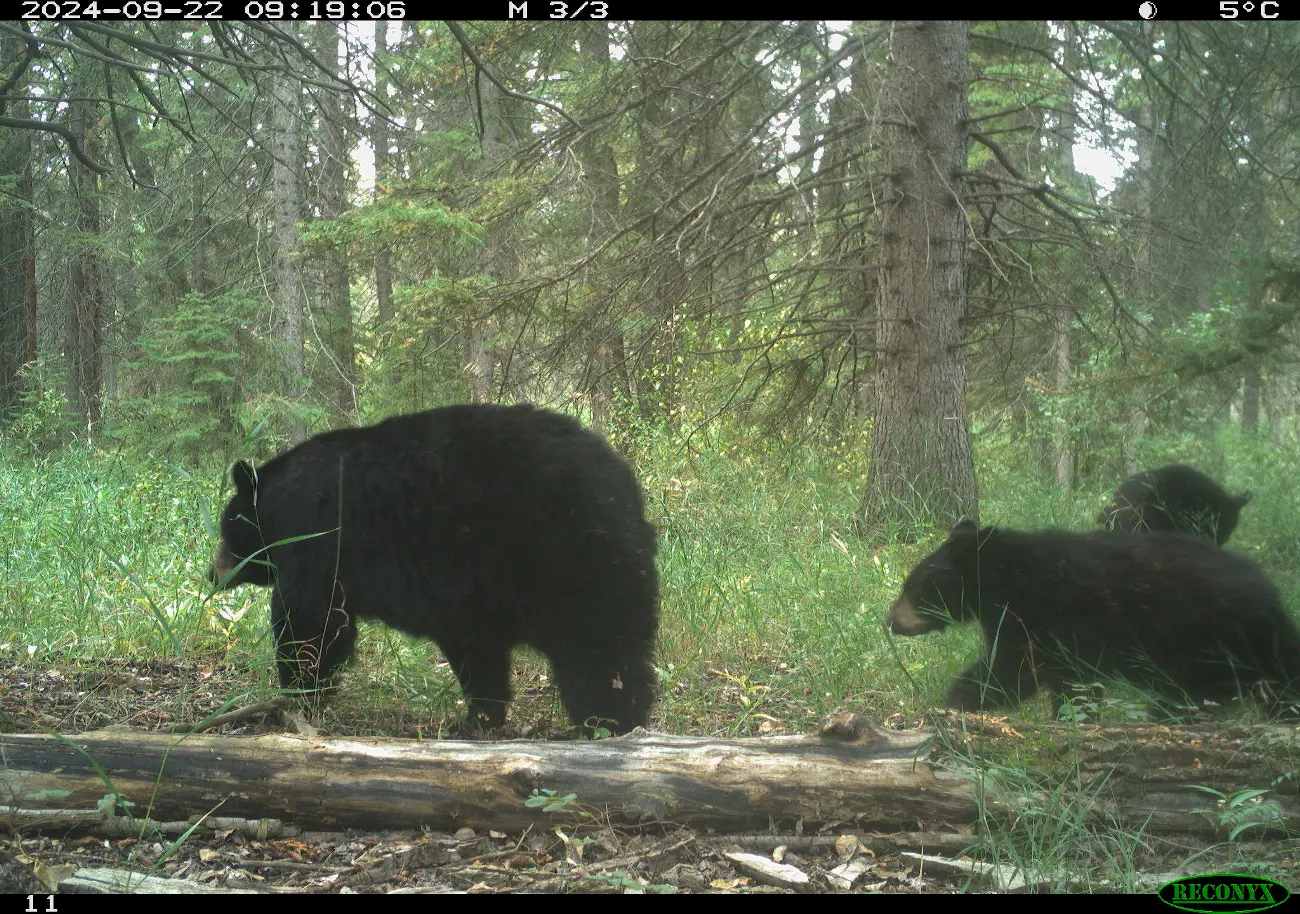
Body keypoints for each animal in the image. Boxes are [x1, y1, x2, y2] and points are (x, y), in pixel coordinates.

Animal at [209, 404, 660, 737]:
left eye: (226, 529)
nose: (213, 575)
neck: (279, 504)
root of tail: (625, 484)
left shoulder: (318, 541)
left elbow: (310, 619)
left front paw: (300, 689)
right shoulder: (464, 601)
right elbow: (479, 654)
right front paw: (483, 717)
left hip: (567, 560)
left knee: (596, 649)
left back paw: (608, 722)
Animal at [885, 520, 1300, 716]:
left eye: (912, 587)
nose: (889, 619)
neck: (1008, 578)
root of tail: (1273, 597)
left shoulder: (1057, 614)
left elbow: (1018, 670)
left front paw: (957, 700)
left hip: (1206, 638)